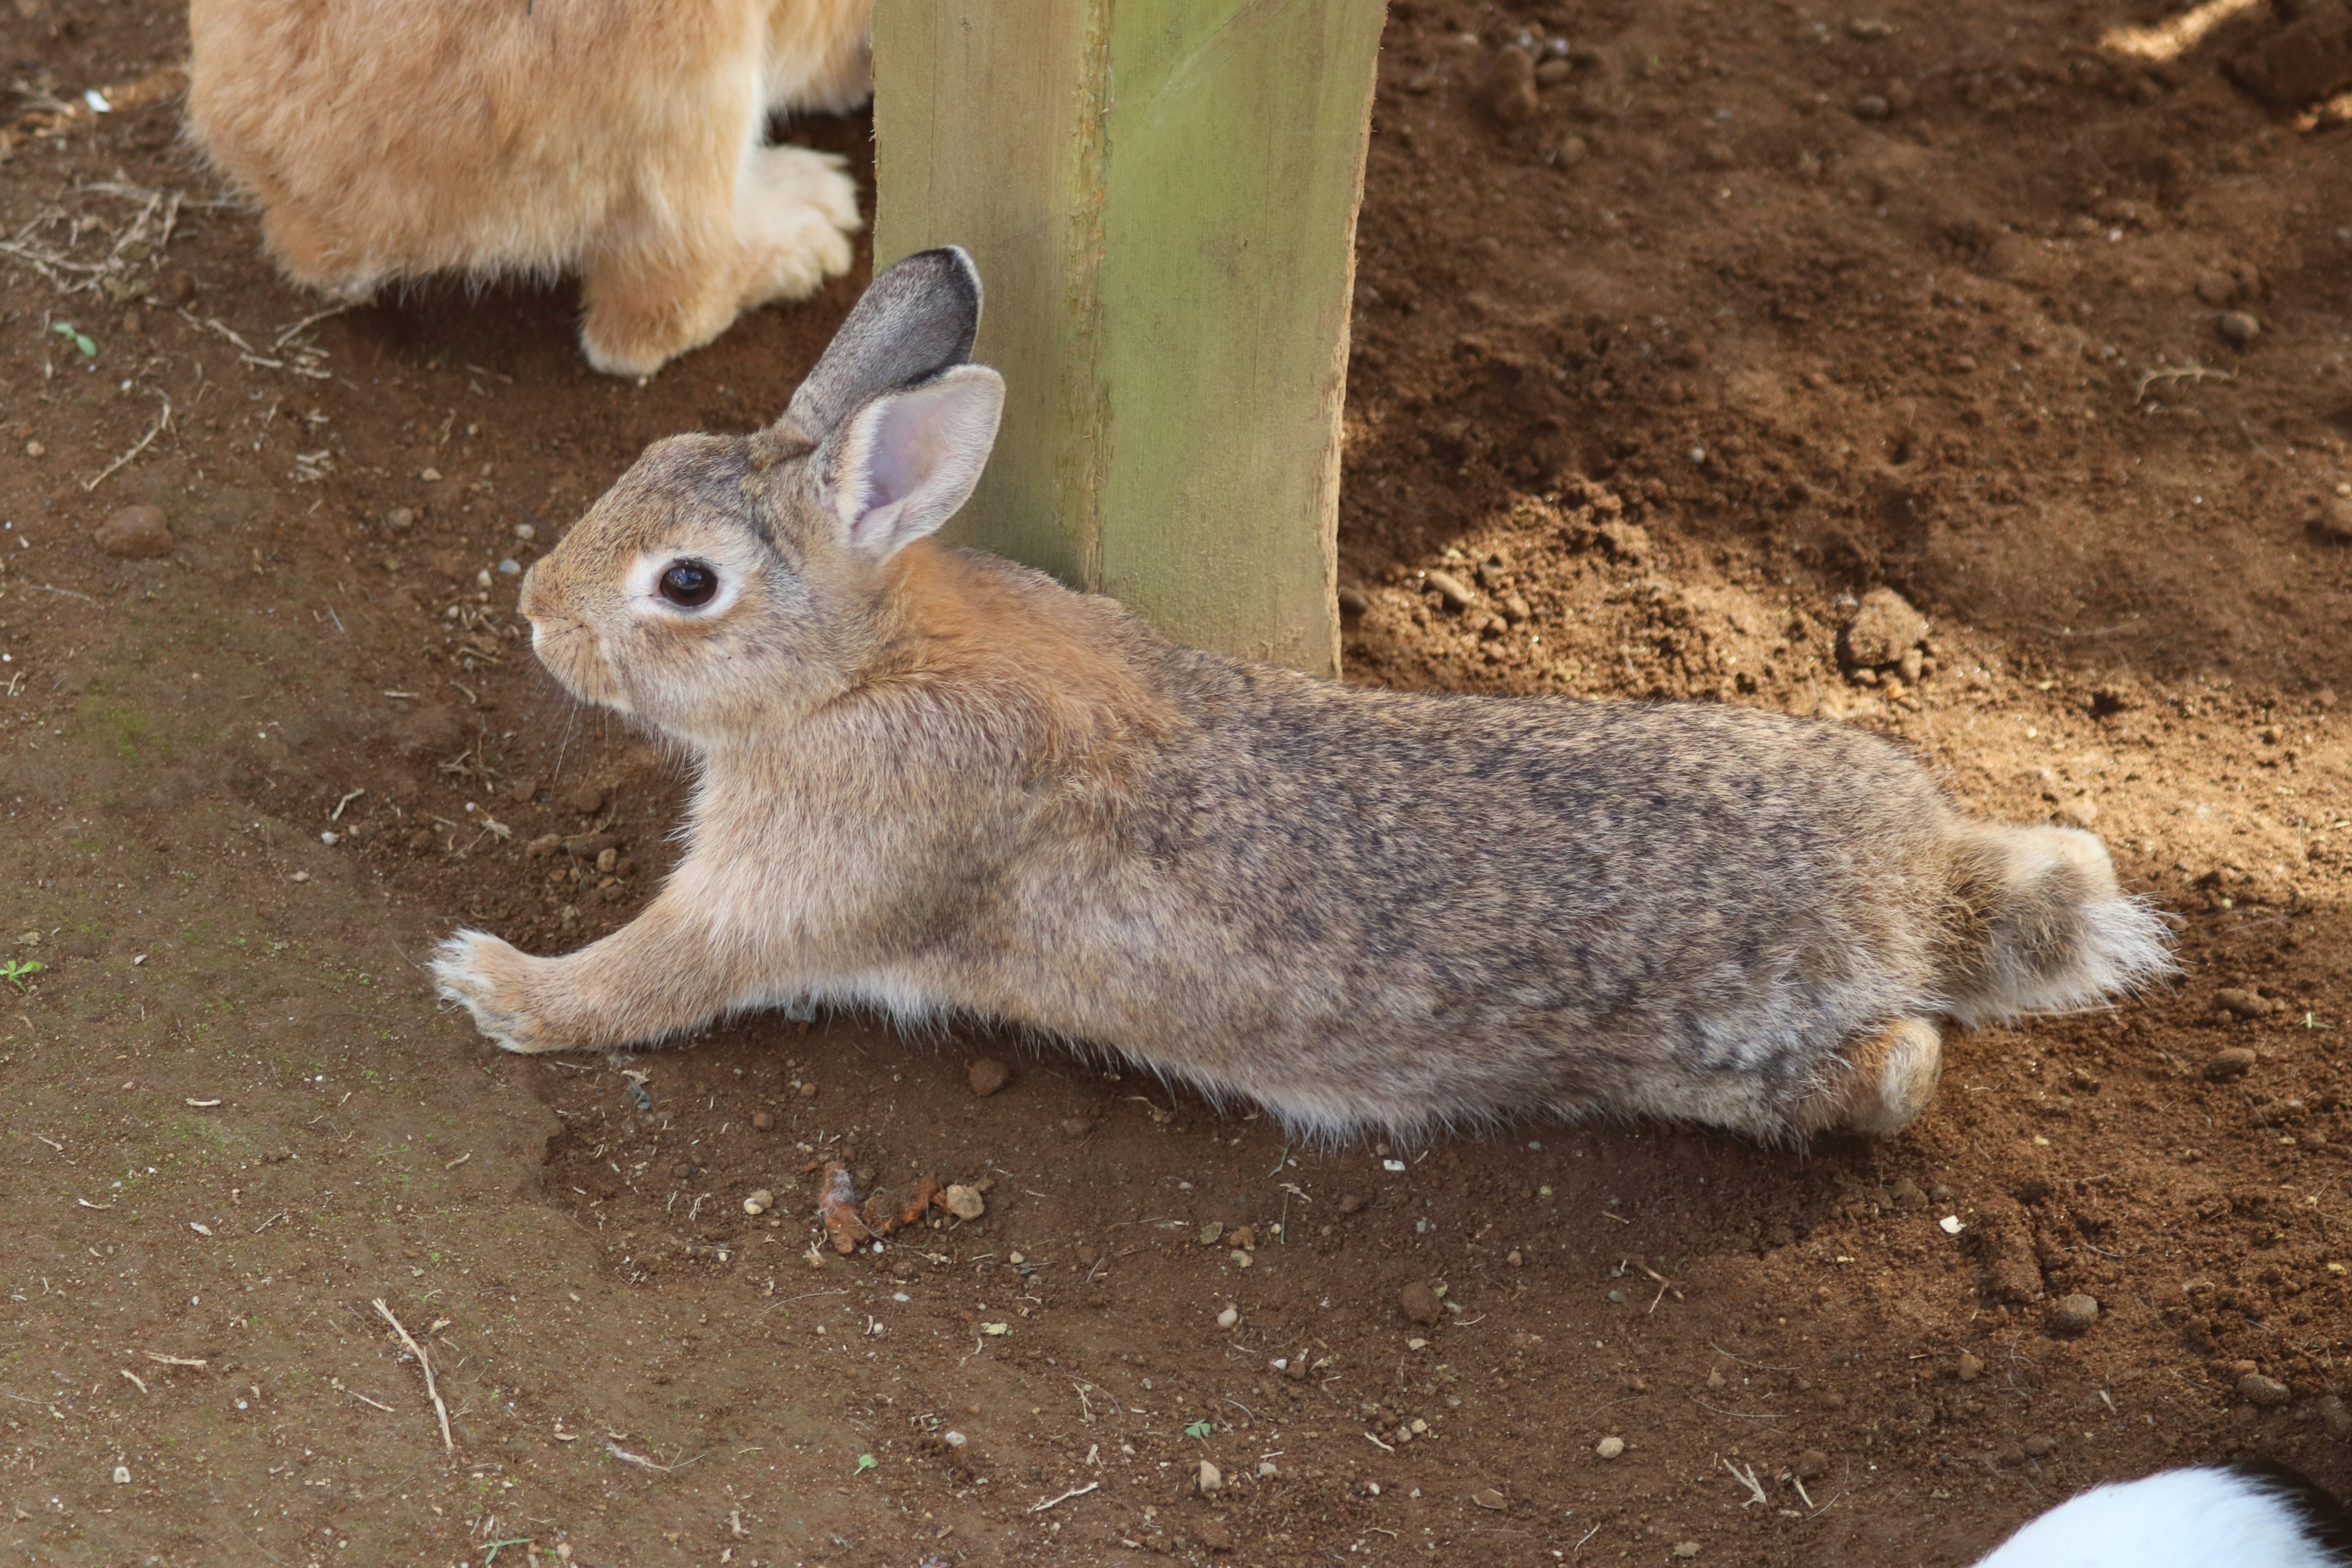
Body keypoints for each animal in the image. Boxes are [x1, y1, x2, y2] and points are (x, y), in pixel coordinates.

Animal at [428, 247, 2163, 1142]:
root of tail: (1916, 882)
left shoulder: (809, 880)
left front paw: (492, 982)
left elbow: (661, 974)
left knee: (1899, 1072)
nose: (535, 615)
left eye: (687, 586)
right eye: (655, 453)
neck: (867, 661)